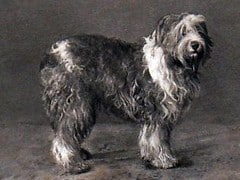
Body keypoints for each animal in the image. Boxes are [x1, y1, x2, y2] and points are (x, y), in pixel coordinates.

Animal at [40, 12, 213, 173]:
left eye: (199, 31)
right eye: (182, 32)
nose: (195, 44)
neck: (172, 62)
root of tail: (53, 52)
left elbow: (153, 138)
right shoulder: (157, 112)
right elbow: (156, 139)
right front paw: (163, 160)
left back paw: (79, 154)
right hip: (74, 103)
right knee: (63, 135)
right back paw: (73, 164)